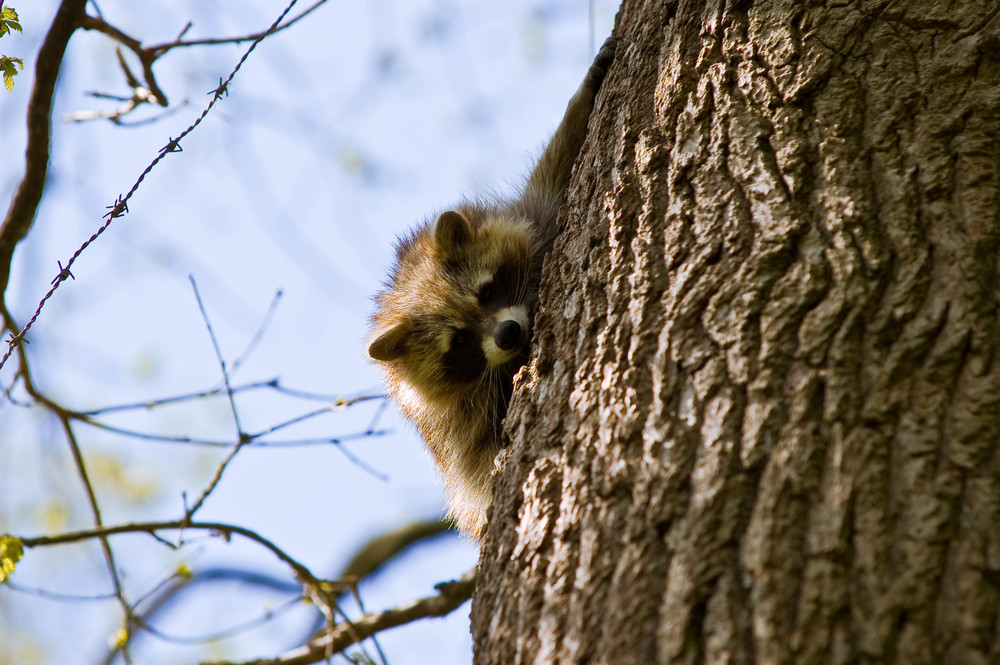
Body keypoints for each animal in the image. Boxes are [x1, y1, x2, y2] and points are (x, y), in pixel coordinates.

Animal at [368, 36, 616, 536]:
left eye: (486, 293)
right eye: (459, 342)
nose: (508, 334)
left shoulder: (532, 217)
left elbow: (551, 180)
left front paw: (582, 97)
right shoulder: (453, 425)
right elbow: (476, 460)